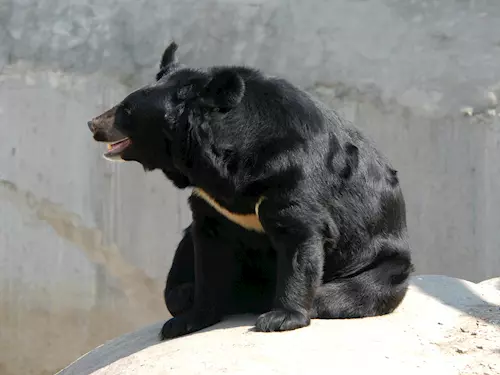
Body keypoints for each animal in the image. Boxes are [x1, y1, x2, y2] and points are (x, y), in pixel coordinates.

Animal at [88, 41, 412, 340]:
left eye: (126, 110)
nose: (92, 123)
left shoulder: (292, 175)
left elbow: (299, 238)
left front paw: (280, 318)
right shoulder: (212, 206)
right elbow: (209, 257)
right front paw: (187, 321)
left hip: (382, 264)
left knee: (350, 291)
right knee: (175, 289)